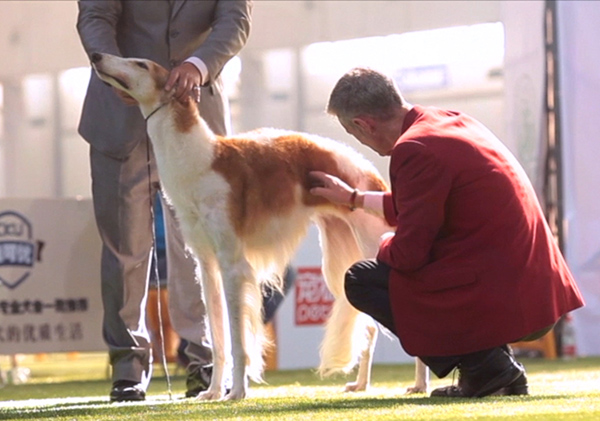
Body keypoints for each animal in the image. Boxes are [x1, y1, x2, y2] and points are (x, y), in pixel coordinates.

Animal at [90, 53, 426, 400]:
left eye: (140, 63)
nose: (97, 56)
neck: (200, 160)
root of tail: (372, 172)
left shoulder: (233, 265)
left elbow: (239, 342)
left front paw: (237, 391)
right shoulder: (206, 265)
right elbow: (219, 340)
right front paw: (212, 391)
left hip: (373, 246)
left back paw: (420, 383)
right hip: (341, 263)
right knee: (370, 326)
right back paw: (361, 384)